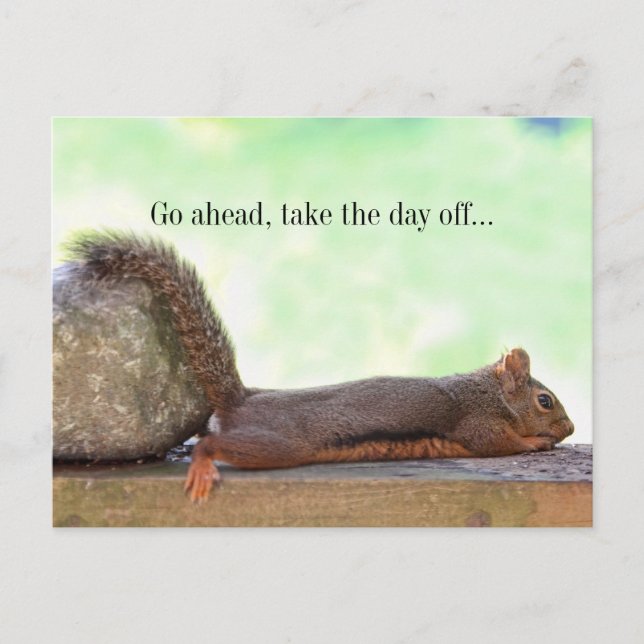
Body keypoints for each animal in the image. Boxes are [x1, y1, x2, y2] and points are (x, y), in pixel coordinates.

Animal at [66, 230, 574, 502]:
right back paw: (203, 461)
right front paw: (536, 442)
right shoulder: (476, 422)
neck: (488, 393)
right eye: (545, 401)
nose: (569, 429)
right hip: (277, 445)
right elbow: (497, 443)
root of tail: (241, 400)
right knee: (212, 444)